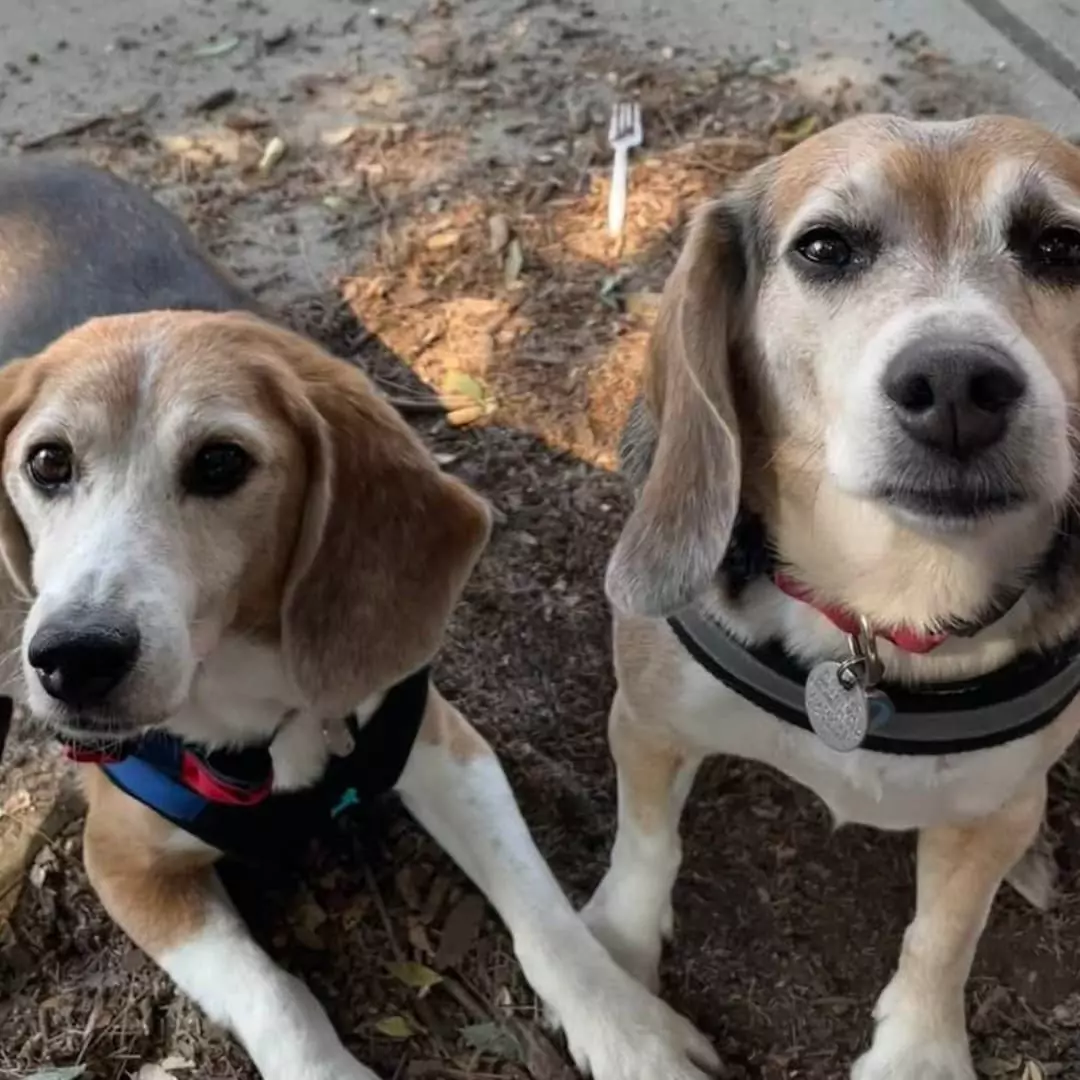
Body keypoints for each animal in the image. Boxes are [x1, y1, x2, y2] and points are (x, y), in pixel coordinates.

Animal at [2, 162, 725, 1080]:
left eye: (220, 463)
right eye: (47, 463)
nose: (74, 659)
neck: (261, 715)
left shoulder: (447, 748)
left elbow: (548, 919)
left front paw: (630, 1035)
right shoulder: (124, 862)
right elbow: (276, 994)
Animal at [583, 111, 1080, 1080]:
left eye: (1061, 246)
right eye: (825, 247)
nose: (957, 384)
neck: (879, 620)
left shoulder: (987, 817)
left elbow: (945, 933)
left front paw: (920, 1053)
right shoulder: (649, 720)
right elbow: (647, 843)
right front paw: (616, 969)